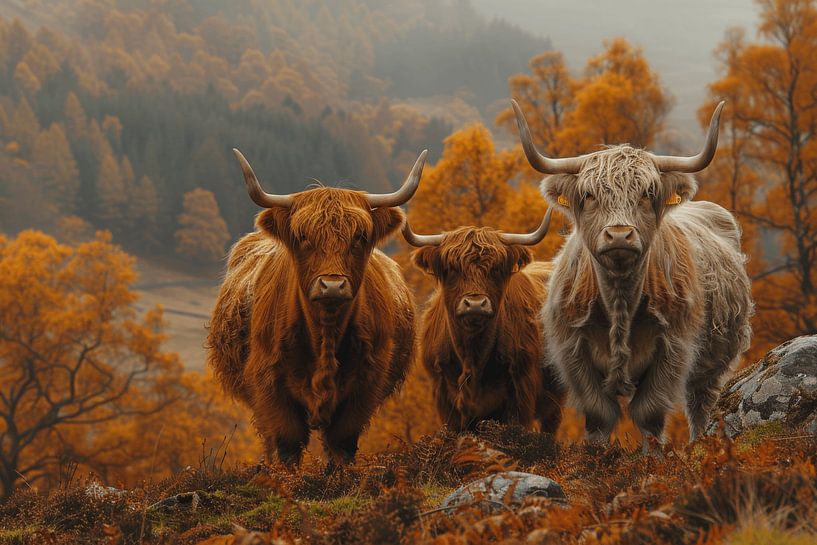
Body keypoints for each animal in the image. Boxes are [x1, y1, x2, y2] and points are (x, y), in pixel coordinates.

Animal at [206, 149, 427, 467]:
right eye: (302, 236)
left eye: (360, 237)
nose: (332, 285)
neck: (325, 334)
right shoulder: (270, 386)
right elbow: (286, 443)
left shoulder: (365, 386)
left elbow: (341, 444)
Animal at [403, 210, 564, 433]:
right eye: (451, 269)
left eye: (496, 269)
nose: (475, 304)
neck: (472, 356)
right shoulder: (445, 400)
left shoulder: (520, 393)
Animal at [512, 100, 753, 451]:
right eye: (589, 195)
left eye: (647, 193)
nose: (619, 235)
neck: (620, 300)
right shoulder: (573, 352)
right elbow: (600, 415)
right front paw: (597, 456)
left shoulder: (674, 348)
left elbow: (648, 414)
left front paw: (653, 457)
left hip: (713, 363)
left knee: (700, 403)